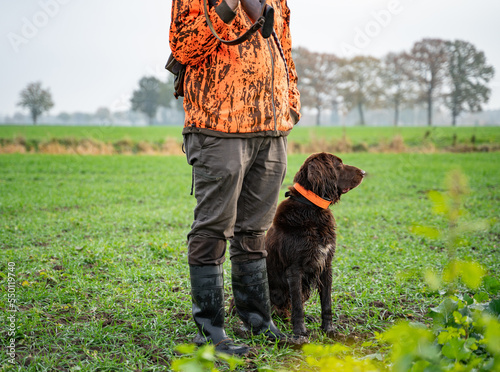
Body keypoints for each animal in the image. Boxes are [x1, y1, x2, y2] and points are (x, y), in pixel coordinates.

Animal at [266, 153, 364, 338]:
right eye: (339, 164)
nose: (363, 172)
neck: (311, 208)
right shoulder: (294, 269)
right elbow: (298, 305)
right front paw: (300, 332)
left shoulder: (326, 264)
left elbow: (326, 302)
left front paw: (329, 329)